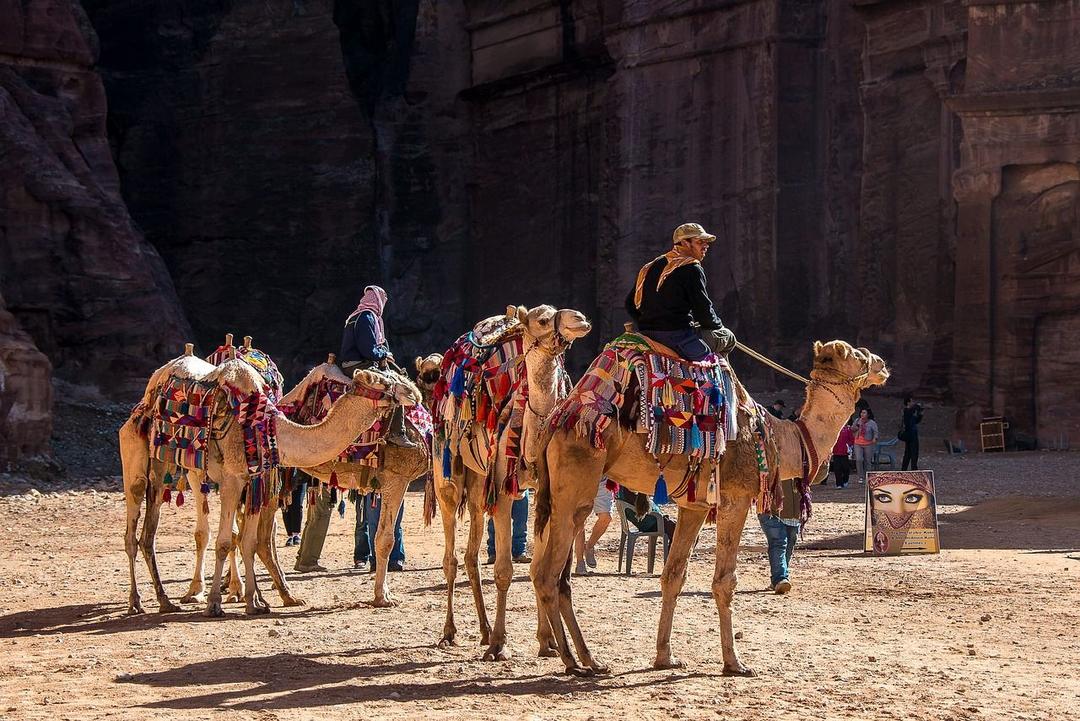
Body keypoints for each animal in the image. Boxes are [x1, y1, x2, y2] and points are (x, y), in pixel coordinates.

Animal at [120, 353, 421, 616]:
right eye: (383, 381)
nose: (414, 393)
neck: (270, 427)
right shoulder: (233, 479)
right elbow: (226, 541)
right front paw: (215, 604)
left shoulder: (255, 481)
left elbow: (248, 541)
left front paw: (254, 603)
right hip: (135, 457)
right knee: (133, 532)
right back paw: (138, 602)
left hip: (166, 469)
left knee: (149, 535)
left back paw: (166, 601)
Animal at [433, 305, 591, 661]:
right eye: (543, 320)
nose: (580, 318)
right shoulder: (504, 494)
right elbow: (504, 570)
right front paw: (498, 644)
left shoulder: (542, 493)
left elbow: (535, 568)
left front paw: (546, 641)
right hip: (447, 473)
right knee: (451, 558)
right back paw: (451, 632)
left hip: (479, 484)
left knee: (470, 555)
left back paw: (482, 629)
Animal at [530, 339, 888, 675]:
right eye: (857, 355)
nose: (882, 364)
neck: (779, 438)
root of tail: (555, 423)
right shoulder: (734, 498)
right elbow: (724, 581)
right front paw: (735, 663)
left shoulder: (695, 506)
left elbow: (673, 575)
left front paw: (665, 657)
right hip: (576, 486)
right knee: (548, 574)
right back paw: (571, 661)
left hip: (558, 499)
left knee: (552, 575)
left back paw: (587, 659)